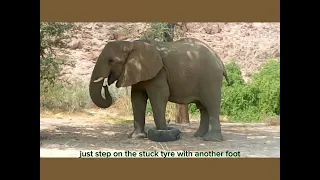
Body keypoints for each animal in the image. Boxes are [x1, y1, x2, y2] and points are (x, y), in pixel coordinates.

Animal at [89, 37, 231, 141]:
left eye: (111, 61)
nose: (105, 85)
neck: (130, 43)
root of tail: (220, 61)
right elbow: (137, 98)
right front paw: (137, 137)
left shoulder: (159, 72)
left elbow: (159, 96)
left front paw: (164, 131)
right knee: (203, 107)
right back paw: (199, 136)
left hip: (210, 77)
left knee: (211, 105)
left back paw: (211, 139)